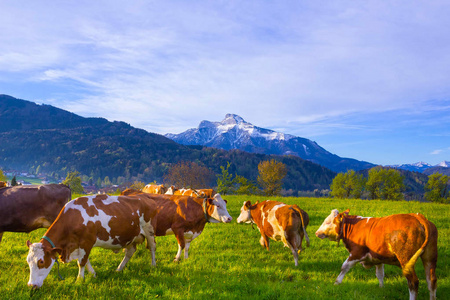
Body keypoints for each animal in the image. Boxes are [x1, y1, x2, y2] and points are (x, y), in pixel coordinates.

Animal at [26, 193, 157, 290]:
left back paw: (153, 265)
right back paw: (119, 269)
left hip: (149, 230)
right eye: (28, 261)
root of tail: (143, 197)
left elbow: (82, 262)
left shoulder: (86, 241)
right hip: (130, 237)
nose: (31, 285)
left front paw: (79, 280)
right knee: (130, 252)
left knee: (152, 248)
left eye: (41, 261)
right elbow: (85, 260)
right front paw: (93, 274)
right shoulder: (79, 245)